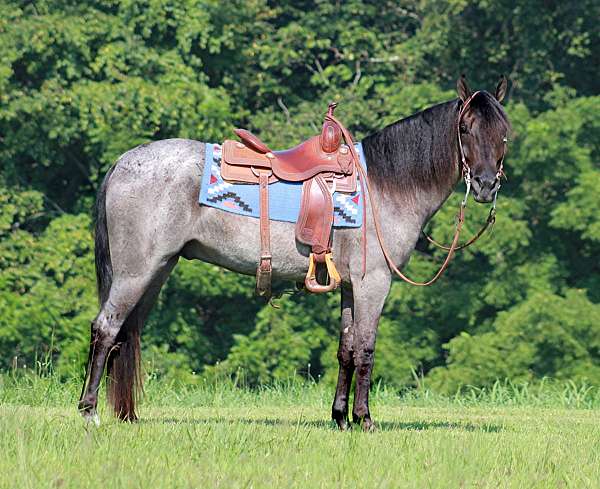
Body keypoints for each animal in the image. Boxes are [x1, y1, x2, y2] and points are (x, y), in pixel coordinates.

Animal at [78, 74, 510, 428]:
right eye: (466, 128)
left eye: (504, 132)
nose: (486, 185)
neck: (384, 186)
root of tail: (122, 163)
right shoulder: (373, 284)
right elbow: (366, 349)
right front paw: (365, 419)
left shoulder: (350, 287)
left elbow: (346, 349)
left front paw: (341, 418)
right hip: (136, 273)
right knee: (106, 328)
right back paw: (89, 411)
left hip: (157, 271)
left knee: (127, 333)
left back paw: (126, 416)